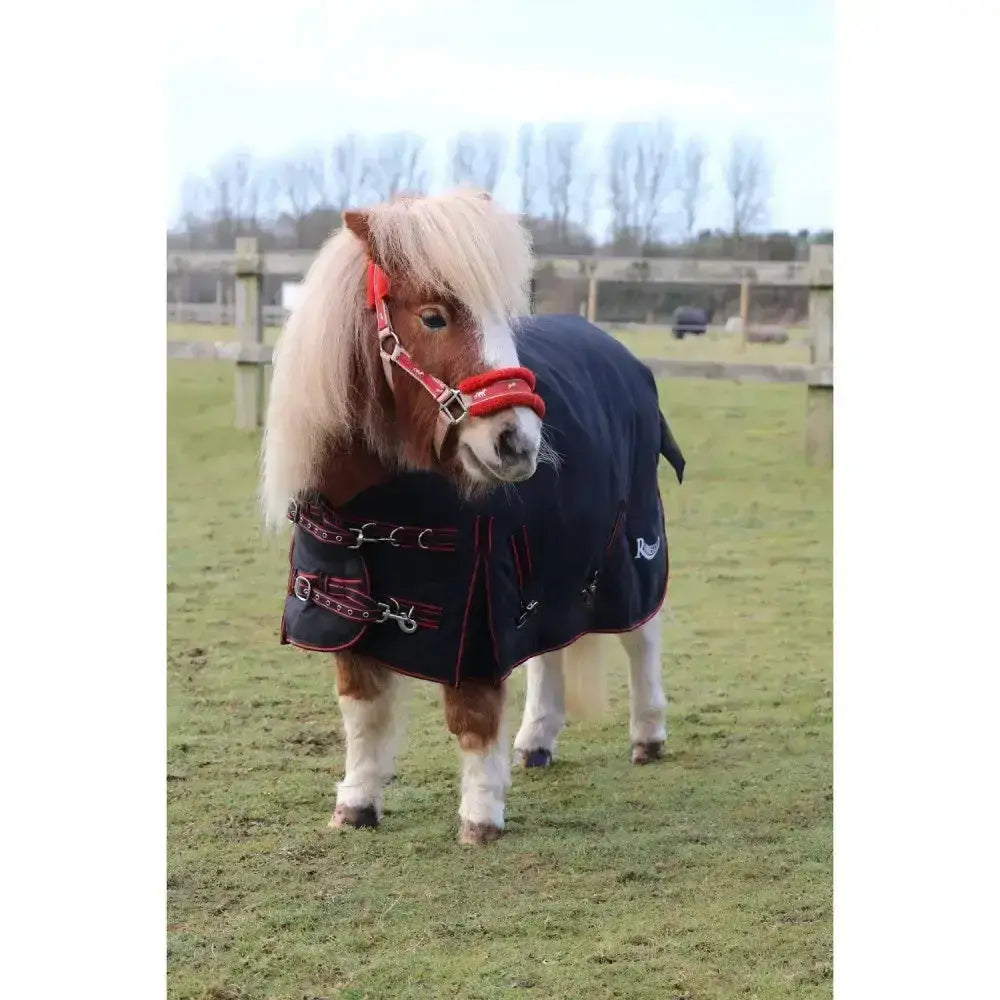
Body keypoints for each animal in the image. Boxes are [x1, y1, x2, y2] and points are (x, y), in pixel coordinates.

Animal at [262, 189, 684, 845]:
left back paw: (647, 733)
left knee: (642, 635)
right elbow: (362, 712)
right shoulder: (345, 615)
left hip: (628, 548)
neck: (374, 511)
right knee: (548, 646)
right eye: (434, 316)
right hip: (547, 565)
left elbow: (472, 714)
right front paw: (356, 802)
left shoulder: (475, 614)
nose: (518, 442)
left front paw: (481, 815)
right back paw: (536, 740)